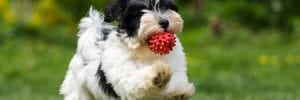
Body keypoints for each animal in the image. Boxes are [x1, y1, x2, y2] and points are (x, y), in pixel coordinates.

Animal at [59, 0, 196, 99]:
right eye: (141, 12)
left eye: (166, 7)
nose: (164, 22)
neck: (145, 50)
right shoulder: (125, 74)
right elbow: (134, 80)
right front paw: (158, 74)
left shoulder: (176, 65)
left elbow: (177, 80)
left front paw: (177, 93)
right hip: (77, 90)